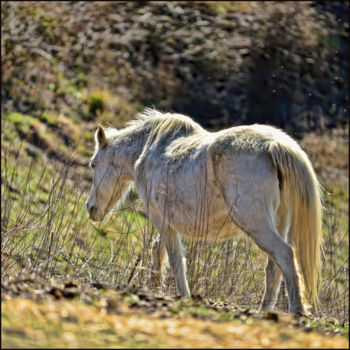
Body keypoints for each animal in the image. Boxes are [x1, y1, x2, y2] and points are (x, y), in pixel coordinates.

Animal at [85, 108, 322, 314]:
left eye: (93, 164)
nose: (90, 207)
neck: (149, 148)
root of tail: (275, 144)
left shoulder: (160, 218)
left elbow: (175, 259)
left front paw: (182, 295)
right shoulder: (166, 224)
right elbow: (159, 251)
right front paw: (155, 287)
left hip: (256, 225)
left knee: (285, 255)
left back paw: (296, 309)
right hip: (279, 223)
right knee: (274, 267)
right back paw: (264, 310)